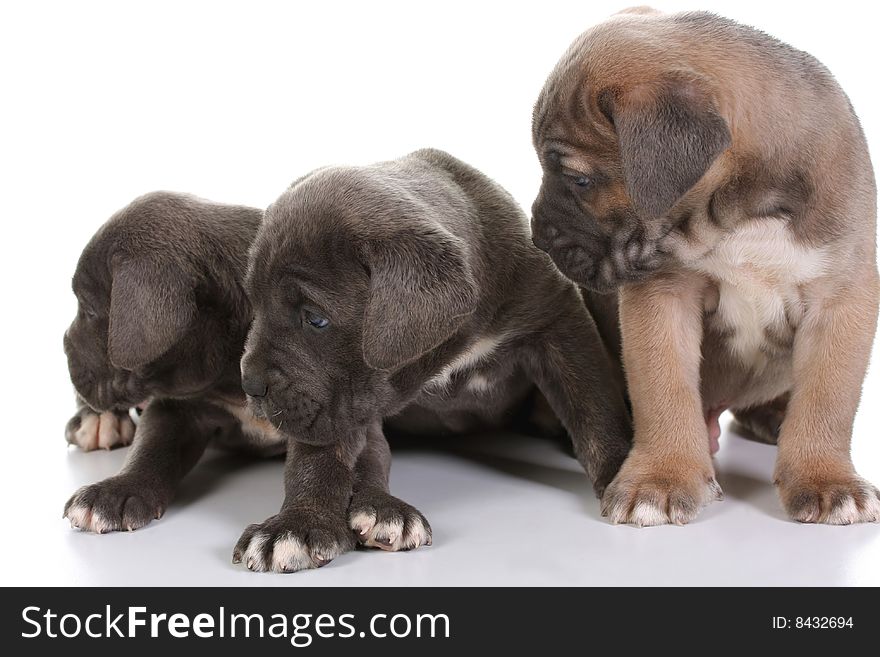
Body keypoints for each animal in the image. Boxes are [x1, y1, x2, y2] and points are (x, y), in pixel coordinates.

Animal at [62, 190, 422, 544]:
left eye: (90, 311)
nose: (64, 342)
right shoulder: (177, 406)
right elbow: (151, 448)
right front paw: (114, 492)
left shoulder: (337, 410)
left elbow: (334, 463)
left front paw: (345, 514)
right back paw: (97, 421)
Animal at [237, 147, 628, 568]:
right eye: (254, 304)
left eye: (315, 318)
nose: (250, 384)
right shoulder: (337, 402)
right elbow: (322, 453)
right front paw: (298, 523)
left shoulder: (557, 320)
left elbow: (594, 406)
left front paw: (627, 473)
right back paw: (382, 509)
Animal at [528, 7, 880, 524]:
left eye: (580, 181)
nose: (538, 235)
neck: (741, 210)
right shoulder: (662, 294)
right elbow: (663, 389)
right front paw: (660, 477)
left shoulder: (839, 299)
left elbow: (826, 398)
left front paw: (825, 478)